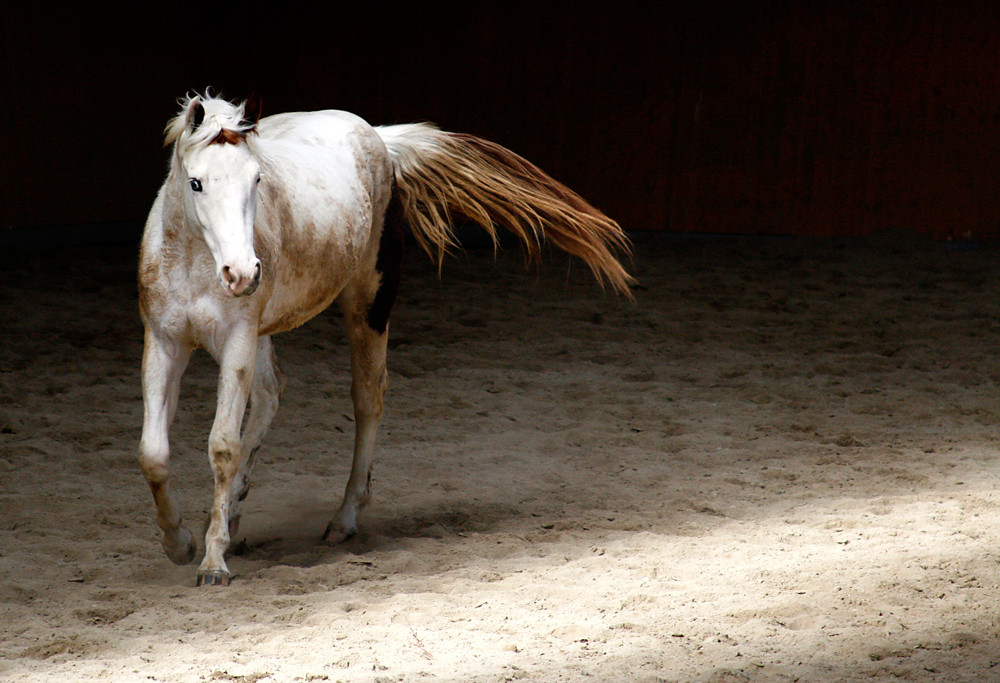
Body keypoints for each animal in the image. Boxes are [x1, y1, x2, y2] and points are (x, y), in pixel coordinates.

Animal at [137, 91, 632, 584]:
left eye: (257, 178)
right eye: (196, 183)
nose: (242, 274)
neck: (193, 264)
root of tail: (377, 137)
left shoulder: (237, 341)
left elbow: (223, 446)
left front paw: (212, 563)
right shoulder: (164, 344)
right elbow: (154, 454)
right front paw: (180, 544)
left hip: (368, 305)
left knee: (366, 399)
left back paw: (342, 520)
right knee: (270, 393)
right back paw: (235, 517)